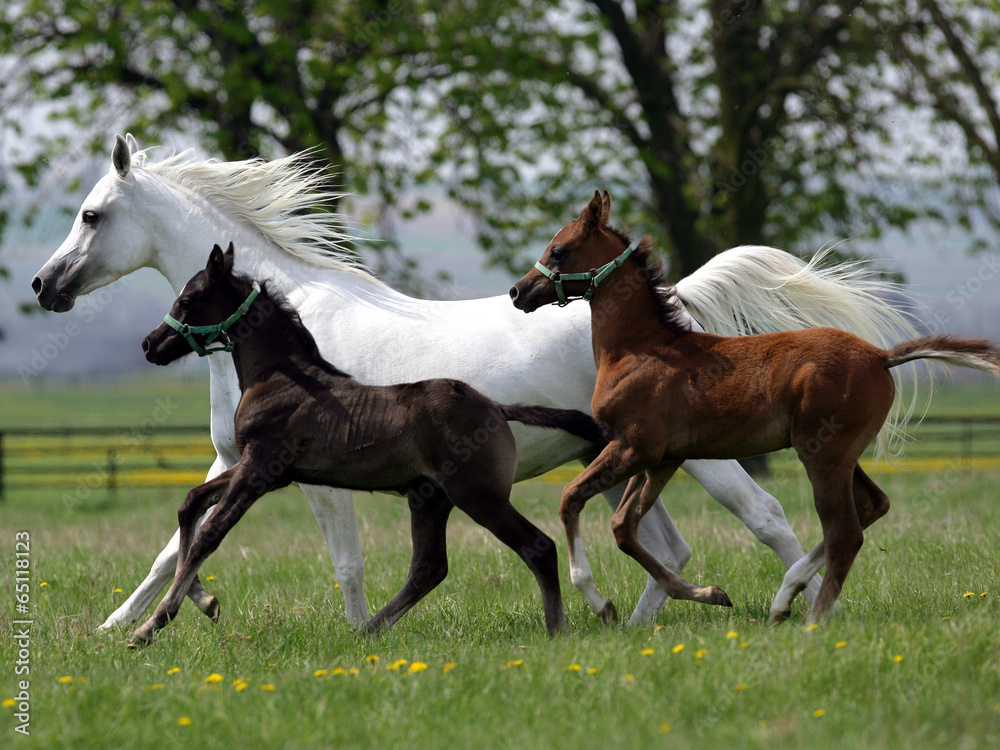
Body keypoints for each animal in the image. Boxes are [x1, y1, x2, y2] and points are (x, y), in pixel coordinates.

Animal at [128, 241, 617, 646]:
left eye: (187, 300)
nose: (150, 344)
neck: (280, 376)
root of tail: (496, 407)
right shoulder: (264, 469)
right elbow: (191, 504)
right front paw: (203, 603)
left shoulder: (260, 467)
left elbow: (210, 533)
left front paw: (150, 626)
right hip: (430, 498)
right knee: (428, 569)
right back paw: (367, 632)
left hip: (478, 495)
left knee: (538, 547)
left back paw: (557, 629)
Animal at [509, 190, 1000, 624]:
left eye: (559, 250)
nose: (518, 292)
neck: (641, 349)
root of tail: (881, 356)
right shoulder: (663, 459)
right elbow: (623, 527)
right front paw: (711, 593)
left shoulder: (634, 448)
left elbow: (571, 500)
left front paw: (600, 602)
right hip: (838, 454)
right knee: (872, 506)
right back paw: (786, 596)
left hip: (824, 457)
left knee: (845, 533)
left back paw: (809, 617)